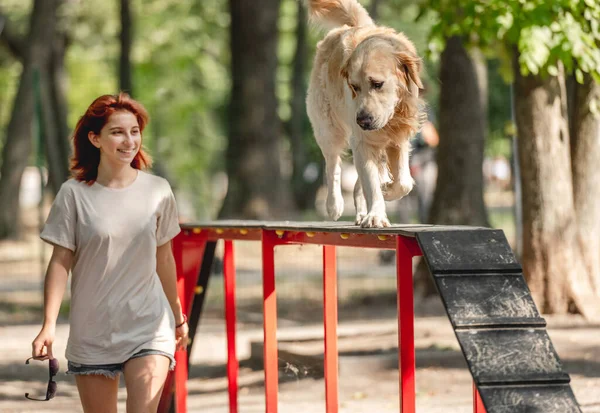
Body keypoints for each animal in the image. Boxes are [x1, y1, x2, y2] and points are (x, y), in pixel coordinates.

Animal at [304, 0, 422, 227]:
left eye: (377, 84)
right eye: (354, 87)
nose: (362, 121)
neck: (392, 116)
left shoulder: (399, 138)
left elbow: (403, 182)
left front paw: (387, 191)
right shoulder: (362, 141)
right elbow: (371, 183)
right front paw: (376, 214)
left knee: (359, 180)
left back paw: (360, 211)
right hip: (327, 129)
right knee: (333, 165)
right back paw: (334, 205)